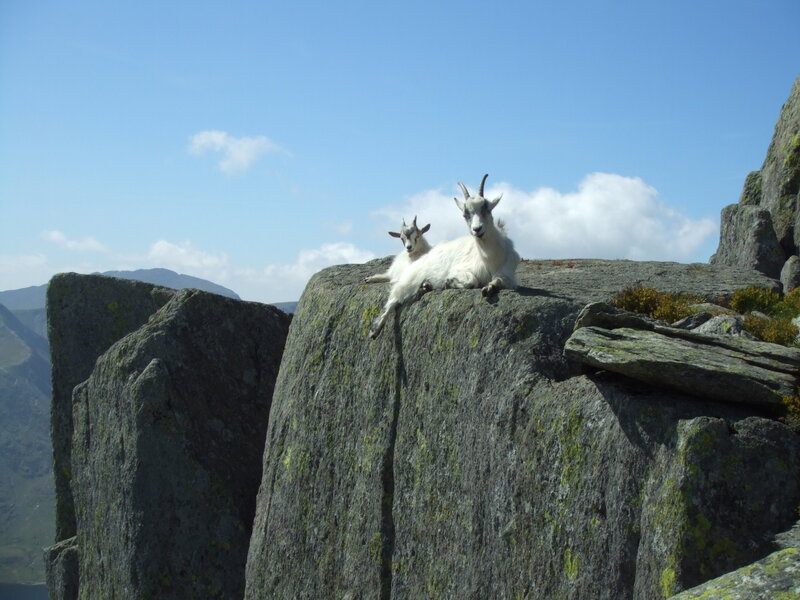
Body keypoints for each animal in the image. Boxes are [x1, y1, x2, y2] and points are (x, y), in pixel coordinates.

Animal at [369, 174, 520, 338]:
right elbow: (472, 281)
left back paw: (426, 286)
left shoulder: (508, 275)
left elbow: (499, 281)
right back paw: (374, 330)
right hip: (409, 280)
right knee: (392, 301)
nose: (477, 229)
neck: (490, 260)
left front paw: (489, 288)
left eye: (487, 209)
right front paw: (449, 282)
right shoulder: (460, 269)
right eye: (465, 214)